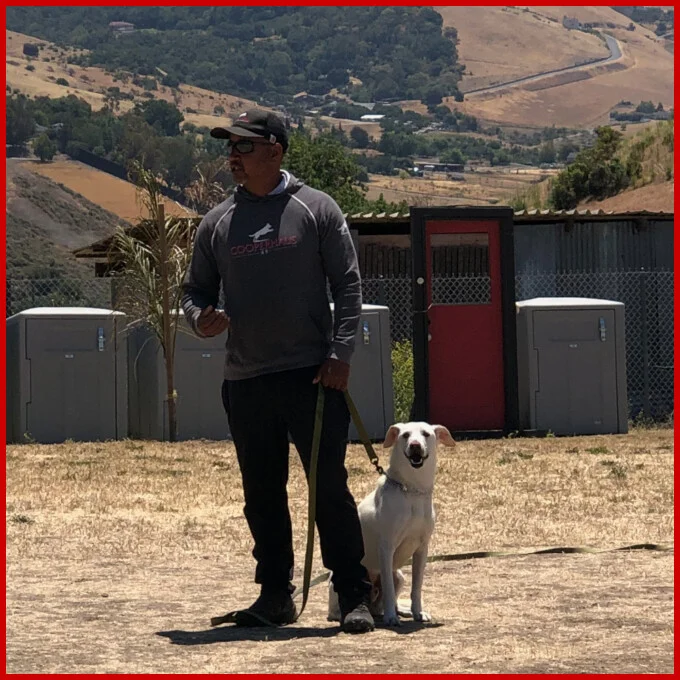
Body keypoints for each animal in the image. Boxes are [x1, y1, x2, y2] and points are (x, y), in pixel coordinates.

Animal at [328, 420, 454, 628]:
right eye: (405, 435)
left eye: (426, 434)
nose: (415, 445)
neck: (412, 490)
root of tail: (371, 606)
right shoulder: (386, 548)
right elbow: (387, 588)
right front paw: (391, 618)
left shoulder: (422, 548)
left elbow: (416, 587)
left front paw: (417, 612)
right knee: (337, 609)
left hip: (400, 576)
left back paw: (402, 610)